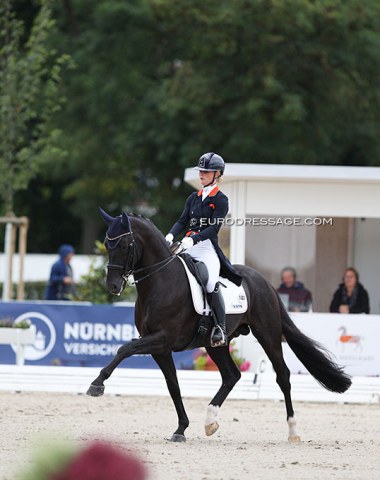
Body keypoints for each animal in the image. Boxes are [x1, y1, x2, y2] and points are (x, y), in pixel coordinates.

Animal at [87, 210, 352, 442]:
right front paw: (181, 429)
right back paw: (210, 420)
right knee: (231, 375)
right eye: (107, 244)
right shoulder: (160, 349)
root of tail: (263, 281)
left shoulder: (162, 338)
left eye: (124, 245)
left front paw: (97, 384)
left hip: (267, 334)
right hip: (216, 343)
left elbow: (125, 349)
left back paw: (293, 431)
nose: (113, 286)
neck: (160, 282)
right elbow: (173, 385)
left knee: (282, 375)